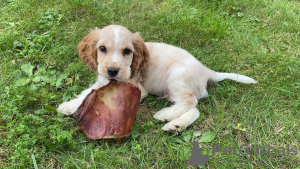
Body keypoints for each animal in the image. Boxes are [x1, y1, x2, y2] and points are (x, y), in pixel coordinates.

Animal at [57, 25, 256, 133]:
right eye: (102, 48)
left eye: (127, 51)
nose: (112, 71)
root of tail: (207, 71)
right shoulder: (102, 80)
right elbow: (88, 91)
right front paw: (70, 105)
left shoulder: (134, 86)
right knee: (195, 109)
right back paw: (176, 125)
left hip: (177, 77)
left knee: (190, 102)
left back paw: (166, 115)